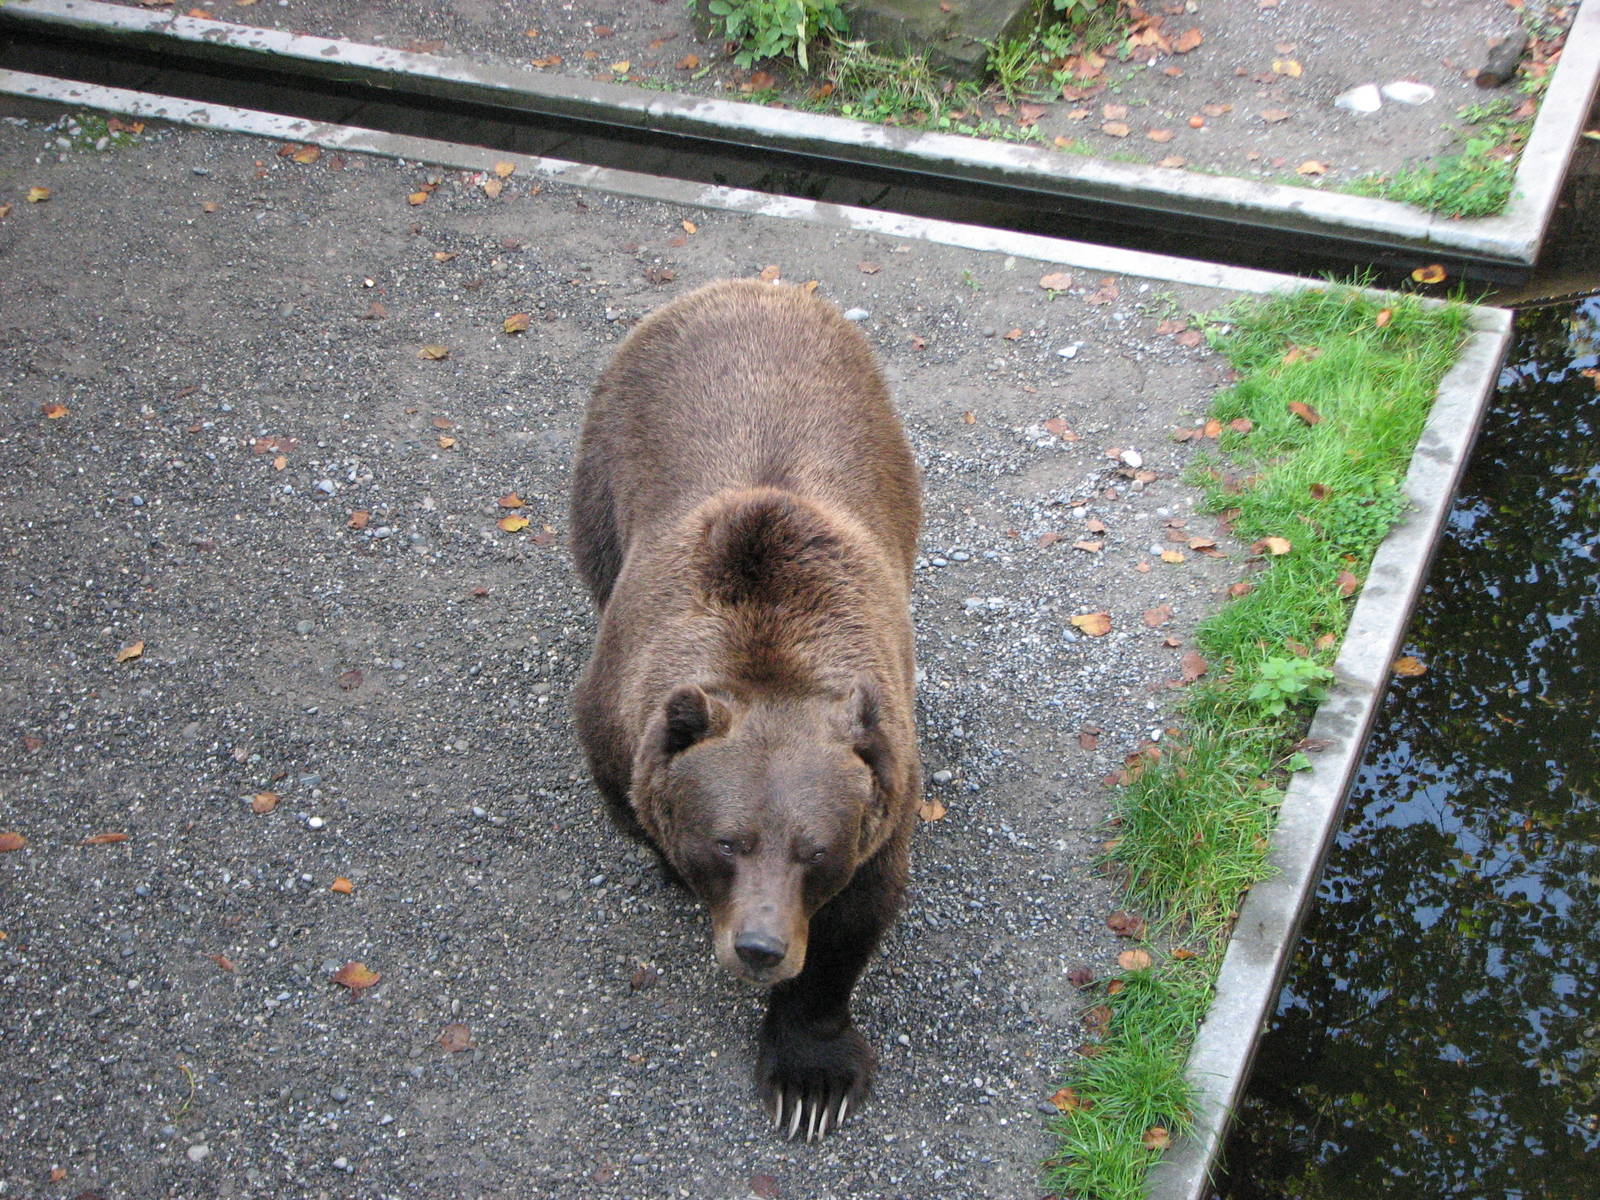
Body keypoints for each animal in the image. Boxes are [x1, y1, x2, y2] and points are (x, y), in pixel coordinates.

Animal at [569, 278, 923, 1141]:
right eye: (726, 841)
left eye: (814, 849)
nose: (760, 946)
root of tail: (751, 284)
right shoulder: (619, 713)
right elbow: (631, 801)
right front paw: (671, 868)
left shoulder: (886, 787)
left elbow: (854, 921)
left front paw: (811, 1079)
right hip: (604, 463)